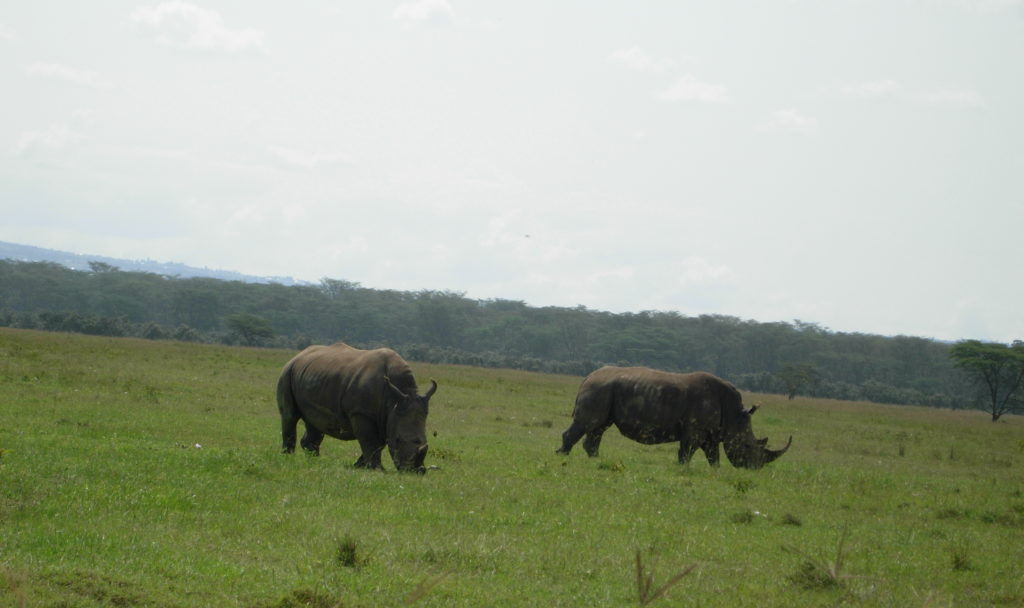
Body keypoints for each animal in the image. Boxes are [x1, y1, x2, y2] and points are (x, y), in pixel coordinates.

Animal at [276, 343, 436, 470]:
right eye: (398, 440)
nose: (416, 471)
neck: (394, 401)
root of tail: (297, 356)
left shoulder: (386, 416)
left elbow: (379, 443)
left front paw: (359, 466)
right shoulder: (361, 413)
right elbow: (370, 442)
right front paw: (377, 469)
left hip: (312, 377)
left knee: (314, 422)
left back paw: (314, 460)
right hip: (287, 373)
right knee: (290, 416)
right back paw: (288, 458)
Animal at [561, 362, 790, 466]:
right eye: (748, 446)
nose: (754, 468)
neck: (734, 414)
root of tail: (587, 377)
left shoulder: (711, 432)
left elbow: (713, 457)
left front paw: (715, 473)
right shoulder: (696, 430)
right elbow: (686, 453)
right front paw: (682, 470)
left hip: (603, 390)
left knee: (598, 428)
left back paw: (595, 460)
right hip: (599, 388)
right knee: (588, 424)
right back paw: (562, 456)